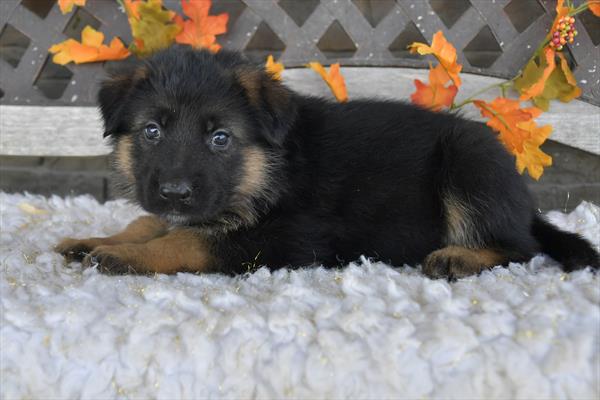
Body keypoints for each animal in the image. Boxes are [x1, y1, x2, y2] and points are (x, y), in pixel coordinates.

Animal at [55, 46, 596, 278]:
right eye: (152, 131)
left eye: (221, 138)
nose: (174, 192)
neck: (273, 165)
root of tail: (524, 206)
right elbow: (149, 222)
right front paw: (98, 239)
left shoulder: (287, 238)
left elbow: (187, 240)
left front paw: (128, 255)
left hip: (471, 163)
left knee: (520, 247)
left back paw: (460, 257)